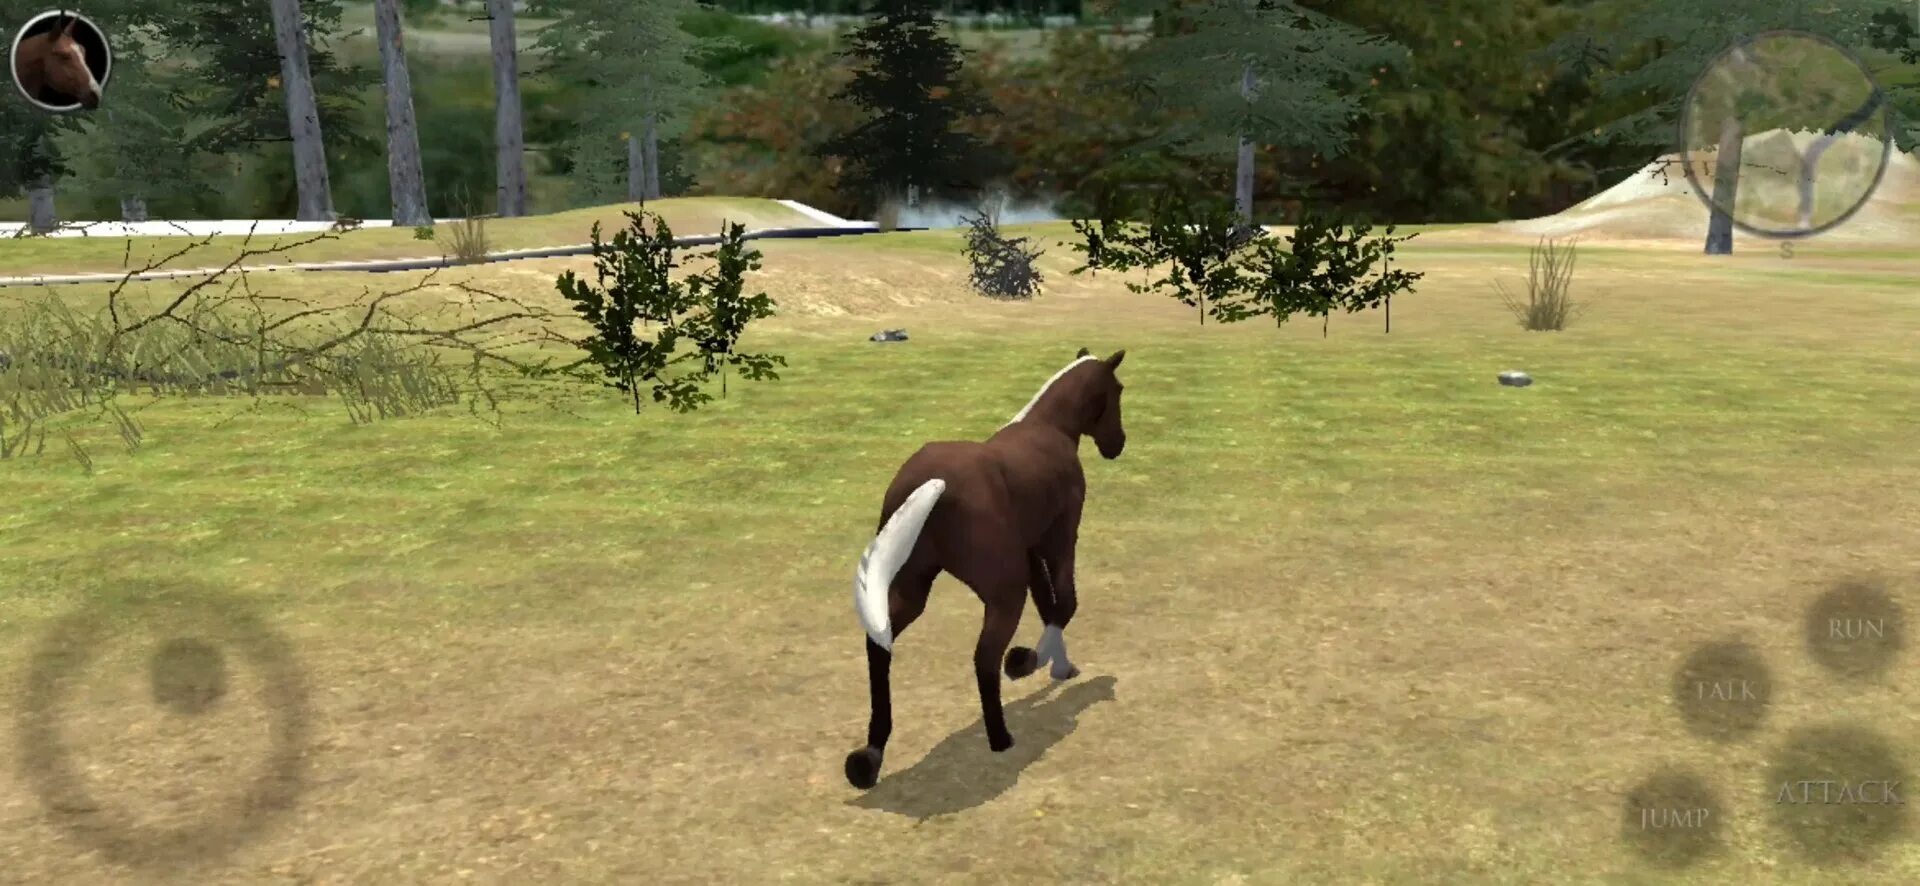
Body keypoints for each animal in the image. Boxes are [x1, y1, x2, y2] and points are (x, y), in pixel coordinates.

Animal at [845, 347, 1128, 789]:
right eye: (1118, 390)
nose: (1118, 444)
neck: (1051, 426)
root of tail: (933, 484)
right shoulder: (1058, 538)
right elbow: (1064, 603)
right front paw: (1028, 662)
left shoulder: (1029, 551)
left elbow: (1049, 606)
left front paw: (1060, 666)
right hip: (1003, 592)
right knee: (984, 657)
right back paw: (1000, 737)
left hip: (911, 589)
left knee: (879, 646)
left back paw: (869, 757)